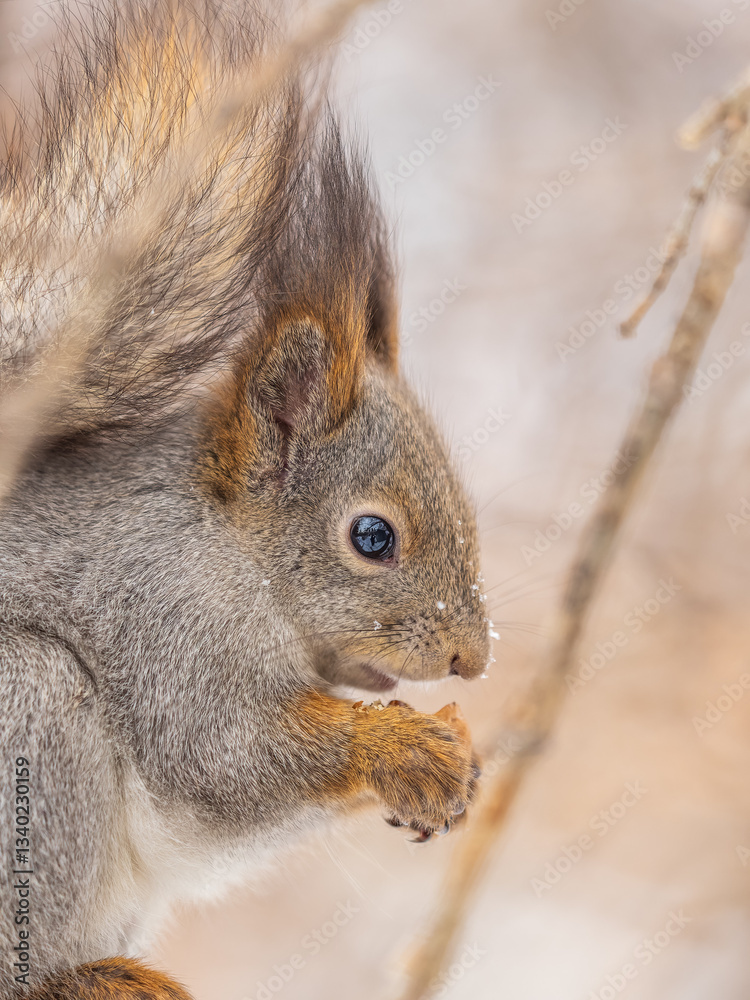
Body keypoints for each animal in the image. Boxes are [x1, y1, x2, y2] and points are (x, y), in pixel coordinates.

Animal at [0, 2, 491, 998]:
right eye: (372, 536)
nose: (474, 657)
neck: (233, 550)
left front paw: (447, 755)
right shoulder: (161, 616)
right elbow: (222, 758)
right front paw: (402, 749)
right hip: (27, 714)